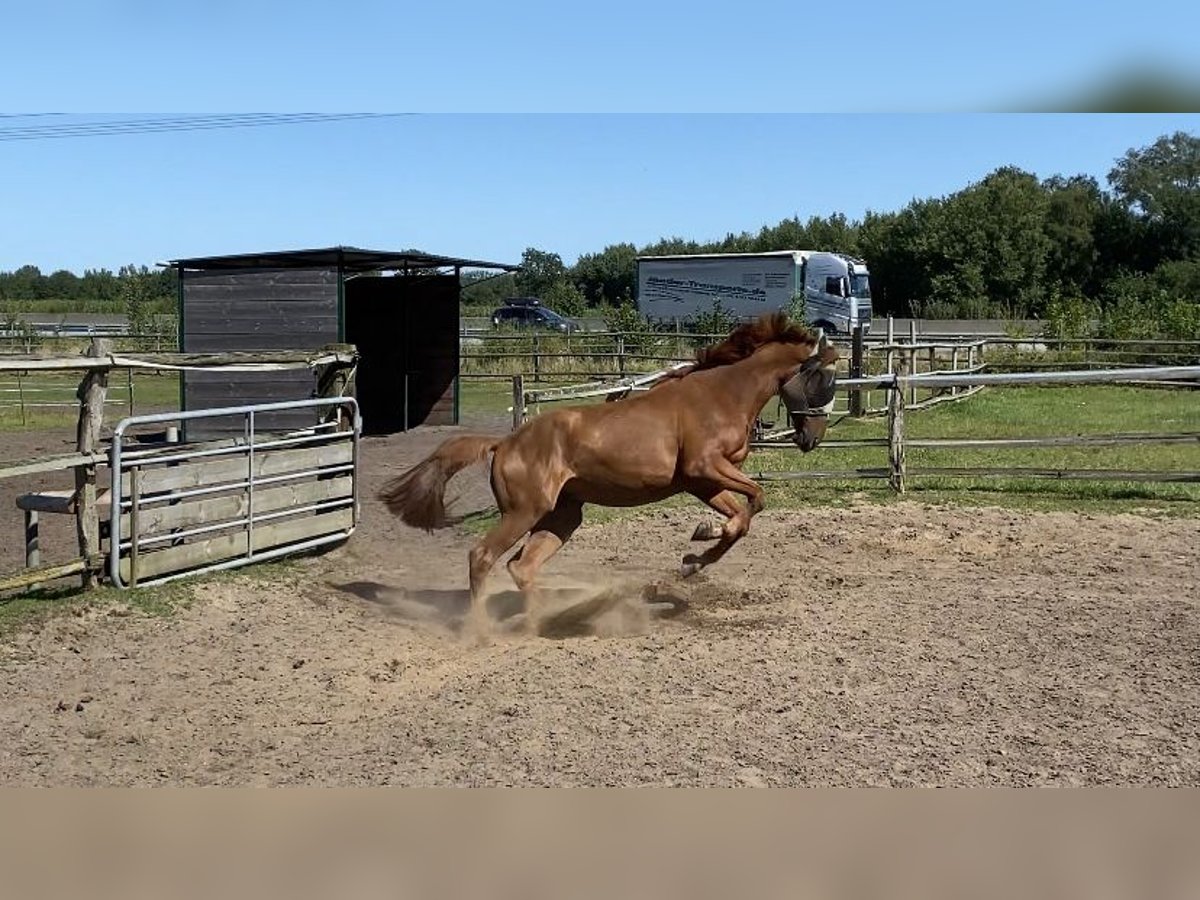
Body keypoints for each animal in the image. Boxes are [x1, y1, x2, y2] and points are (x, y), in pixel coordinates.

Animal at [379, 314, 840, 638]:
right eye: (821, 377)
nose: (812, 438)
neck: (720, 394)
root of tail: (505, 443)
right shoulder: (704, 468)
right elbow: (754, 502)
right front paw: (703, 539)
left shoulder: (703, 482)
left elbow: (742, 519)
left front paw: (693, 558)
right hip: (523, 512)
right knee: (483, 557)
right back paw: (483, 633)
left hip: (562, 517)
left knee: (521, 567)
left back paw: (542, 624)